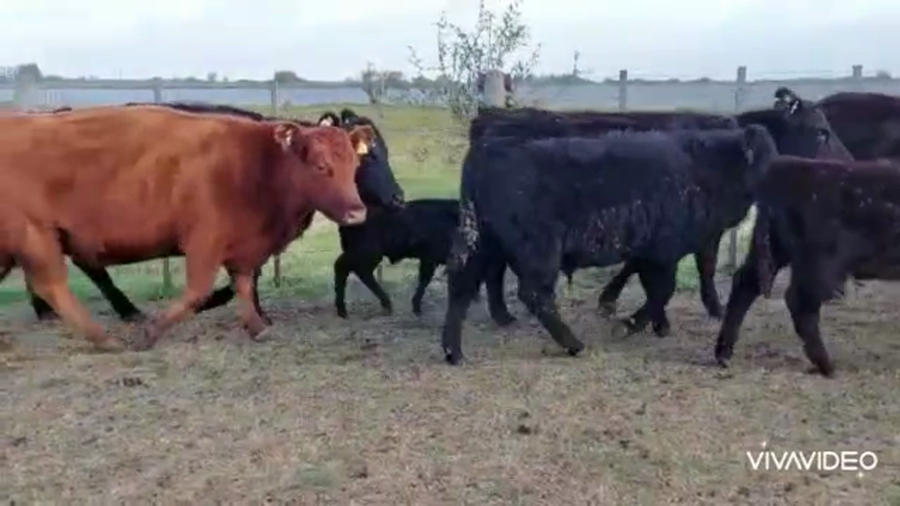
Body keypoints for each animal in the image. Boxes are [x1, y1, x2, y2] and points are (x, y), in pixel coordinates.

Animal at [0, 105, 373, 351]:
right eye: (321, 165)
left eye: (354, 164)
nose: (357, 212)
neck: (255, 164)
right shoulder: (204, 240)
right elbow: (199, 291)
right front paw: (152, 333)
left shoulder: (243, 247)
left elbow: (242, 284)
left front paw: (256, 326)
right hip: (35, 236)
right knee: (53, 286)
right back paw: (104, 337)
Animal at [334, 198, 466, 317]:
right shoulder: (430, 258)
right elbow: (425, 280)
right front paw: (417, 308)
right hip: (367, 254)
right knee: (356, 270)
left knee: (345, 268)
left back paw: (343, 310)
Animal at [440, 125, 778, 364]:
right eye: (767, 161)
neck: (707, 166)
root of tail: (489, 147)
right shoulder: (664, 251)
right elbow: (661, 289)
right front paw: (629, 325)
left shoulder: (656, 250)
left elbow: (653, 283)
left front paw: (658, 324)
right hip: (538, 250)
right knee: (534, 294)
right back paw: (574, 344)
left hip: (481, 245)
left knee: (462, 286)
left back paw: (454, 352)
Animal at [472, 100, 852, 331]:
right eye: (821, 131)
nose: (848, 163)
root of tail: (490, 117)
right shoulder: (698, 230)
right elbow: (698, 267)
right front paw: (709, 308)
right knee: (494, 269)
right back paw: (503, 314)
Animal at [715, 156, 900, 376]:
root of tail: (783, 166)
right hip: (818, 263)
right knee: (799, 302)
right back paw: (826, 365)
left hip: (777, 250)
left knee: (745, 284)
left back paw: (724, 354)